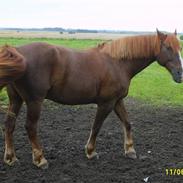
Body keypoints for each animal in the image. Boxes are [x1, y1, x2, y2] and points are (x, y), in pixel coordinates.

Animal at [0, 30, 182, 169]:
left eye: (179, 47)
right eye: (168, 47)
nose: (180, 74)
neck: (117, 63)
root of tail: (18, 50)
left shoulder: (117, 101)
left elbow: (127, 123)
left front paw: (130, 150)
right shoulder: (106, 103)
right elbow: (96, 127)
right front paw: (91, 152)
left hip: (16, 100)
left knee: (9, 125)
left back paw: (11, 158)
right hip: (34, 101)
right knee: (30, 127)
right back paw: (40, 159)